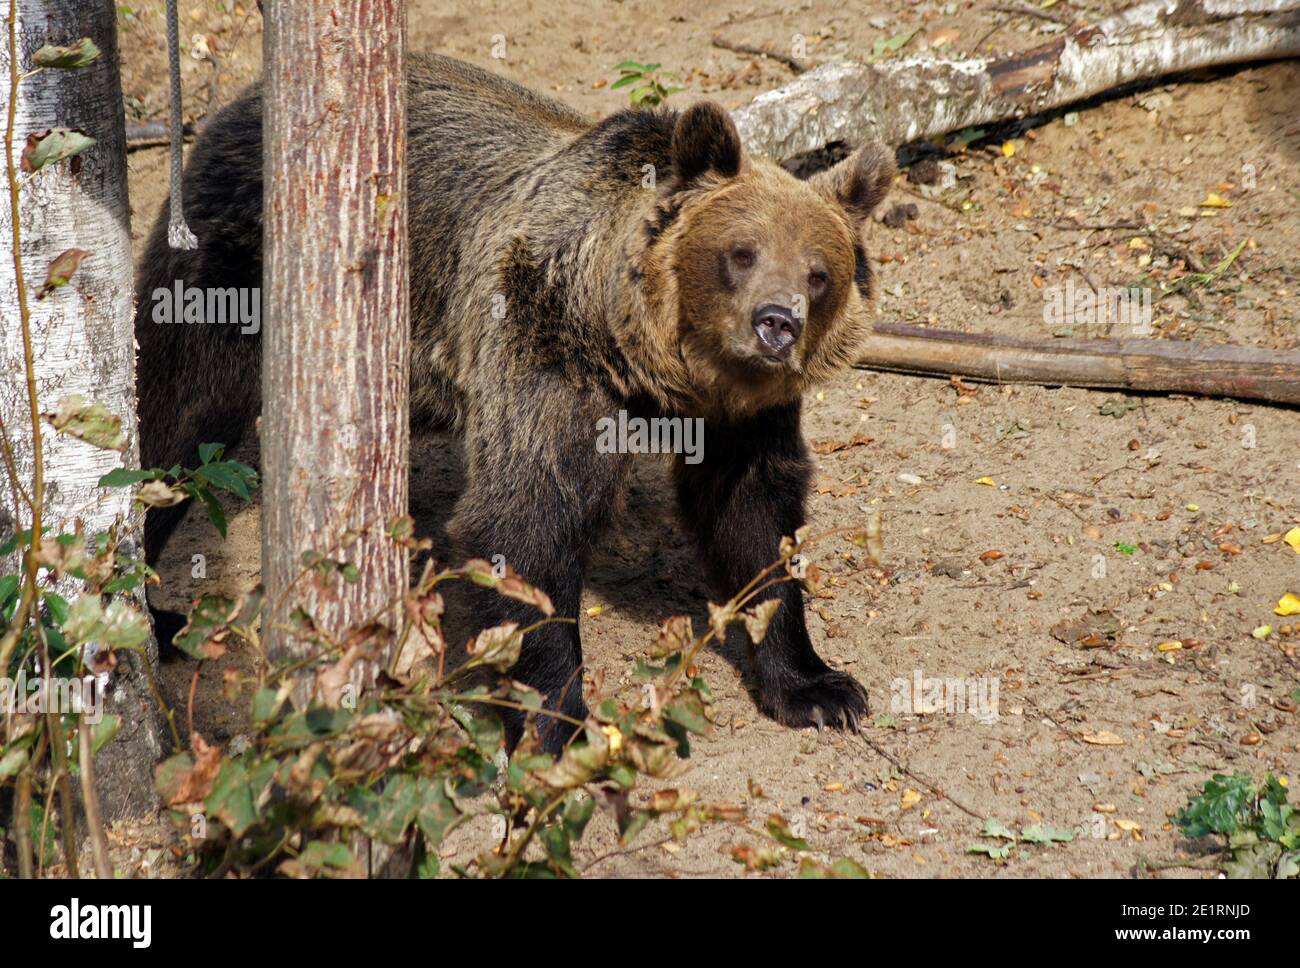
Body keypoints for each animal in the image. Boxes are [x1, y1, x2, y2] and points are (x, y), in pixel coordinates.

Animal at [139, 52, 894, 753]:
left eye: (819, 272)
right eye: (740, 251)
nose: (777, 323)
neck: (643, 360)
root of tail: (243, 98)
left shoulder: (744, 413)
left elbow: (755, 515)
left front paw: (817, 686)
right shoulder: (543, 345)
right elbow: (528, 519)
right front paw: (557, 722)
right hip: (232, 262)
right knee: (176, 416)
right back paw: (158, 612)